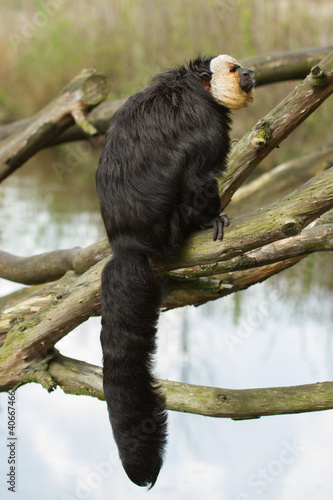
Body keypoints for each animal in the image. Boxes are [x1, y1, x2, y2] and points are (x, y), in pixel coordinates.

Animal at [95, 54, 254, 488]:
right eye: (234, 70)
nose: (250, 74)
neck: (195, 85)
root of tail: (127, 243)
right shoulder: (206, 122)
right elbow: (198, 174)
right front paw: (211, 216)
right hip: (170, 227)